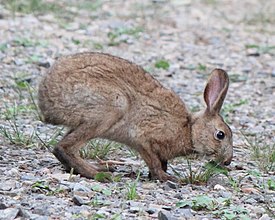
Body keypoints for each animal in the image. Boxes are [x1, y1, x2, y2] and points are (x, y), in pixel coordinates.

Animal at [37, 52, 234, 181]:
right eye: (220, 135)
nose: (228, 161)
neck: (189, 129)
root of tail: (46, 98)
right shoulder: (143, 138)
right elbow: (154, 161)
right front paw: (166, 177)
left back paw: (101, 167)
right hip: (111, 108)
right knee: (64, 148)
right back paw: (100, 174)